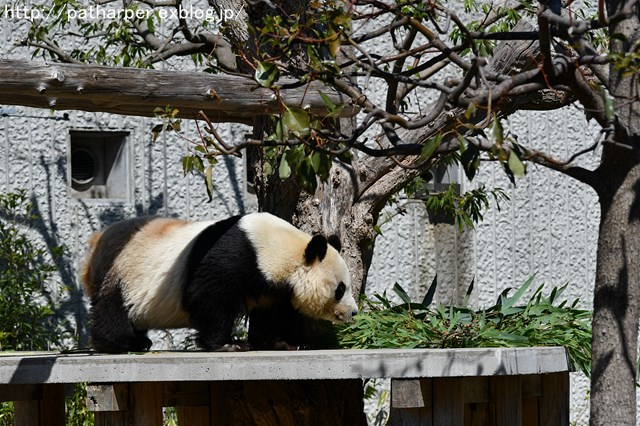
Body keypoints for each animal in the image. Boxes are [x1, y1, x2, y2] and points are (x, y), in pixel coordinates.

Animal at [80, 212, 358, 352]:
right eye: (340, 289)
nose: (354, 312)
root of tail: (96, 242)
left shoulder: (272, 286)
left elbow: (274, 312)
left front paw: (286, 342)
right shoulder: (237, 255)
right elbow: (207, 296)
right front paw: (228, 344)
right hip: (127, 271)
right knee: (113, 307)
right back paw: (121, 342)